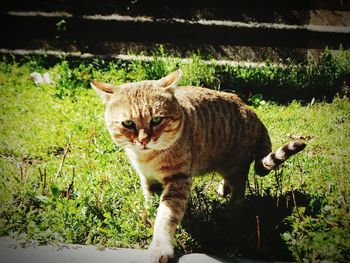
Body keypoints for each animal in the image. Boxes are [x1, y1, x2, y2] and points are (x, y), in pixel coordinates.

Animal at [92, 69, 306, 263]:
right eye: (128, 124)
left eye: (157, 120)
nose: (144, 141)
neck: (146, 158)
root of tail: (253, 111)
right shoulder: (146, 178)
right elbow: (149, 199)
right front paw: (148, 212)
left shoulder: (178, 180)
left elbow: (165, 216)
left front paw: (160, 246)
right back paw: (222, 190)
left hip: (234, 166)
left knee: (239, 189)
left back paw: (232, 209)